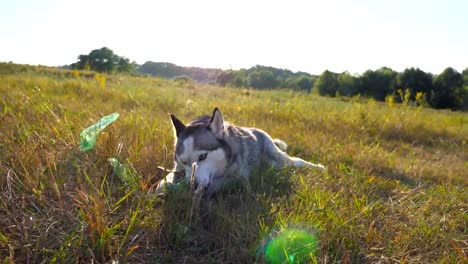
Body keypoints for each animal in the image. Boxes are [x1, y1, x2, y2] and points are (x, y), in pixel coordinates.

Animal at [157, 108, 326, 196]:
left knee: (297, 162)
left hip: (279, 158)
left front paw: (178, 189)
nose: (193, 185)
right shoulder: (177, 168)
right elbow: (167, 178)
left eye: (203, 156)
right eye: (184, 162)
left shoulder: (236, 179)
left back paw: (318, 167)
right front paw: (164, 186)